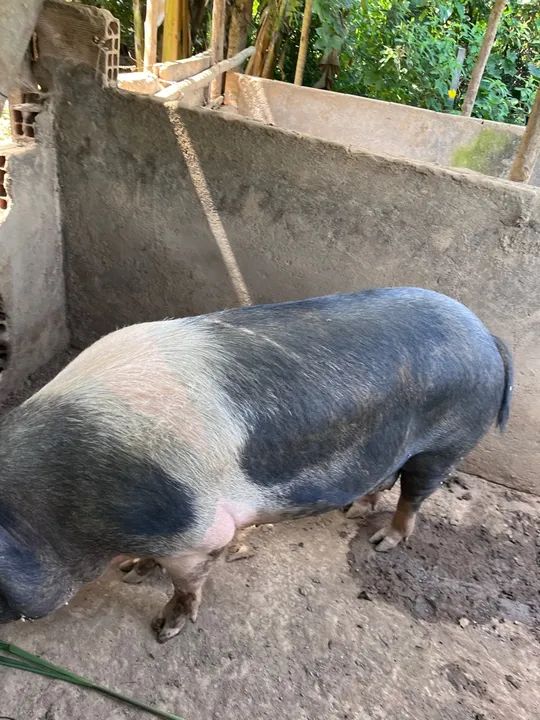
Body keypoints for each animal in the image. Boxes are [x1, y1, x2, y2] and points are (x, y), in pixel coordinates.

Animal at [0, 287, 512, 642]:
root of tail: (486, 334)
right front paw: (133, 571)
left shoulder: (201, 532)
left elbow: (187, 584)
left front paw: (165, 629)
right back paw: (354, 510)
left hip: (448, 442)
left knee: (415, 494)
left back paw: (383, 541)